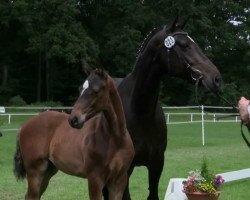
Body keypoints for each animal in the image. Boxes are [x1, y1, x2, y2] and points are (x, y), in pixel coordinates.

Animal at [13, 65, 135, 198]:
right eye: (80, 89)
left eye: (96, 91)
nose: (73, 119)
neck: (116, 139)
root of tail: (24, 125)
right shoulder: (95, 178)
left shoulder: (119, 179)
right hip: (35, 171)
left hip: (48, 171)